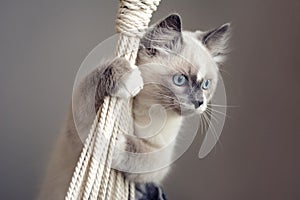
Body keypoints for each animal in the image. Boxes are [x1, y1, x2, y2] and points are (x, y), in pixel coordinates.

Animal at [37, 13, 230, 199]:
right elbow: (98, 77)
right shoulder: (77, 130)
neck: (148, 110)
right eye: (180, 80)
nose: (199, 102)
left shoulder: (162, 155)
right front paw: (127, 76)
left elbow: (142, 157)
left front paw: (116, 144)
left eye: (206, 85)